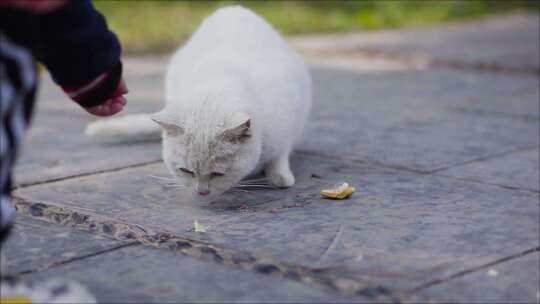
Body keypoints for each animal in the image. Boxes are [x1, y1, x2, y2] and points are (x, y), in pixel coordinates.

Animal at [86, 5, 310, 201]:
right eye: (186, 171)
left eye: (218, 174)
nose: (202, 192)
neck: (216, 85)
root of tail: (231, 8)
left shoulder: (286, 121)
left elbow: (279, 156)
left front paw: (280, 177)